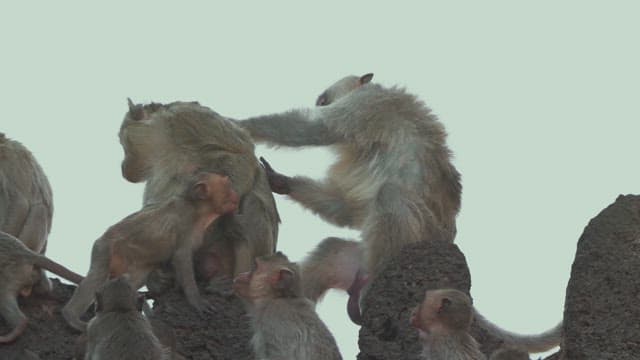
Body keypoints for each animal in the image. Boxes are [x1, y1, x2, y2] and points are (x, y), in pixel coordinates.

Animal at [62, 170, 239, 330]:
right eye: (228, 186)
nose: (235, 194)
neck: (198, 210)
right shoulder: (185, 224)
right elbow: (181, 257)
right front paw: (196, 300)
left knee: (133, 279)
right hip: (104, 248)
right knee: (97, 275)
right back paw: (71, 316)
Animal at [120, 99, 280, 292]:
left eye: (123, 142)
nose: (123, 168)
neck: (164, 143)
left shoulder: (188, 116)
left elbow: (241, 154)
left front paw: (227, 217)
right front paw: (154, 276)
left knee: (252, 202)